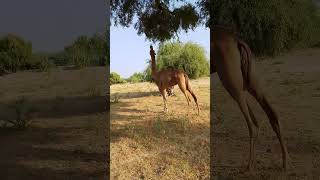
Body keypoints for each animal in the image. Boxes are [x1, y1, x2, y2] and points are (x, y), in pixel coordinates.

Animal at [211, 27, 288, 172]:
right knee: (270, 114)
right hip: (251, 81)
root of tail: (236, 40)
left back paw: (249, 165)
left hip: (229, 79)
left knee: (251, 123)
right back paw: (284, 163)